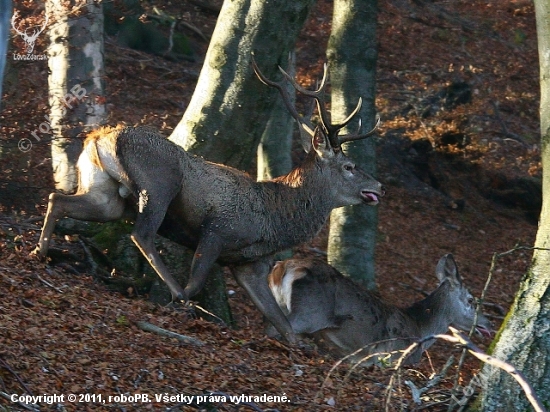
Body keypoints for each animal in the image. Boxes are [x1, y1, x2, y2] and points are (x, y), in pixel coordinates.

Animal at [34, 56, 386, 342]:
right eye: (349, 166)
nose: (380, 187)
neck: (273, 219)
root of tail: (99, 137)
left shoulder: (249, 264)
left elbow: (282, 323)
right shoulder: (218, 229)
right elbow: (198, 281)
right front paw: (188, 302)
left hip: (105, 195)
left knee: (57, 197)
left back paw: (41, 251)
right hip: (159, 184)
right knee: (141, 234)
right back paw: (175, 292)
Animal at [270, 253, 494, 362]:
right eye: (471, 300)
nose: (489, 324)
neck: (420, 328)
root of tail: (283, 267)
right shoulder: (396, 357)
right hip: (310, 313)